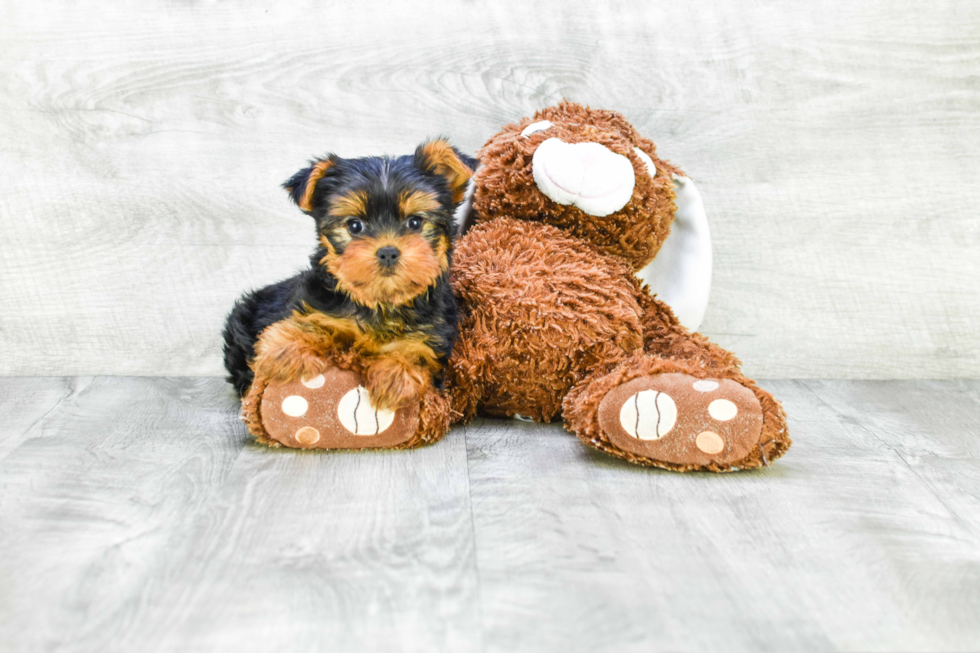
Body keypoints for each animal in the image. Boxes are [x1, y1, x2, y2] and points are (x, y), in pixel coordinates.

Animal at [223, 139, 474, 438]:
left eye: (414, 222)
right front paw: (285, 351)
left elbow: (418, 351)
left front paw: (396, 376)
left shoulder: (435, 332)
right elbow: (311, 320)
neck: (380, 303)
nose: (388, 251)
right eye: (355, 225)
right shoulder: (319, 305)